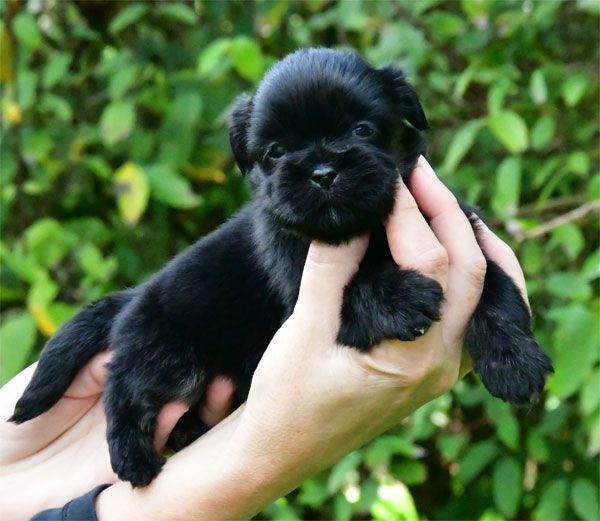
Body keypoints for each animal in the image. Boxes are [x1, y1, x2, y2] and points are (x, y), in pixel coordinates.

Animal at [10, 46, 552, 486]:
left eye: (362, 130)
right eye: (276, 151)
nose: (322, 171)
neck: (363, 229)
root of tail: (135, 294)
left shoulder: (466, 242)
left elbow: (497, 294)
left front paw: (514, 363)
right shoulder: (310, 297)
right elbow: (359, 290)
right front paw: (402, 296)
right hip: (168, 357)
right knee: (122, 391)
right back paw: (133, 458)